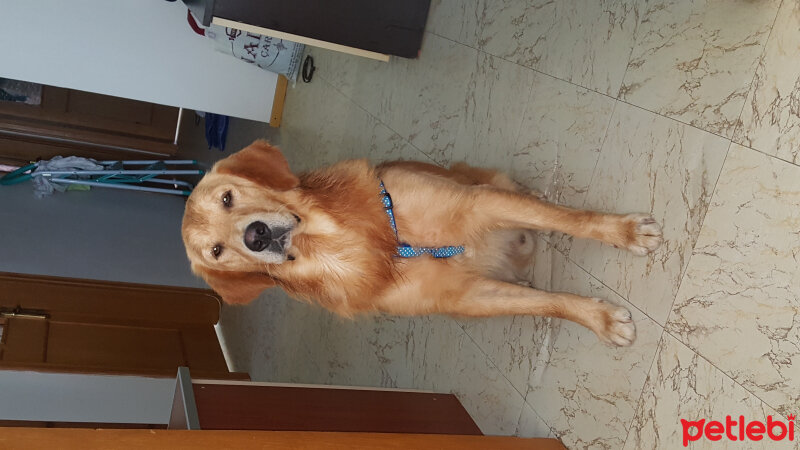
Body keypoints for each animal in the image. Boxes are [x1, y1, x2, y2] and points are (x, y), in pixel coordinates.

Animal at [181, 141, 664, 344]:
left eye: (228, 198)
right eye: (216, 252)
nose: (256, 235)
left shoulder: (478, 203)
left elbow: (571, 219)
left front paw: (622, 231)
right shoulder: (463, 296)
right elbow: (547, 303)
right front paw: (600, 320)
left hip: (489, 184)